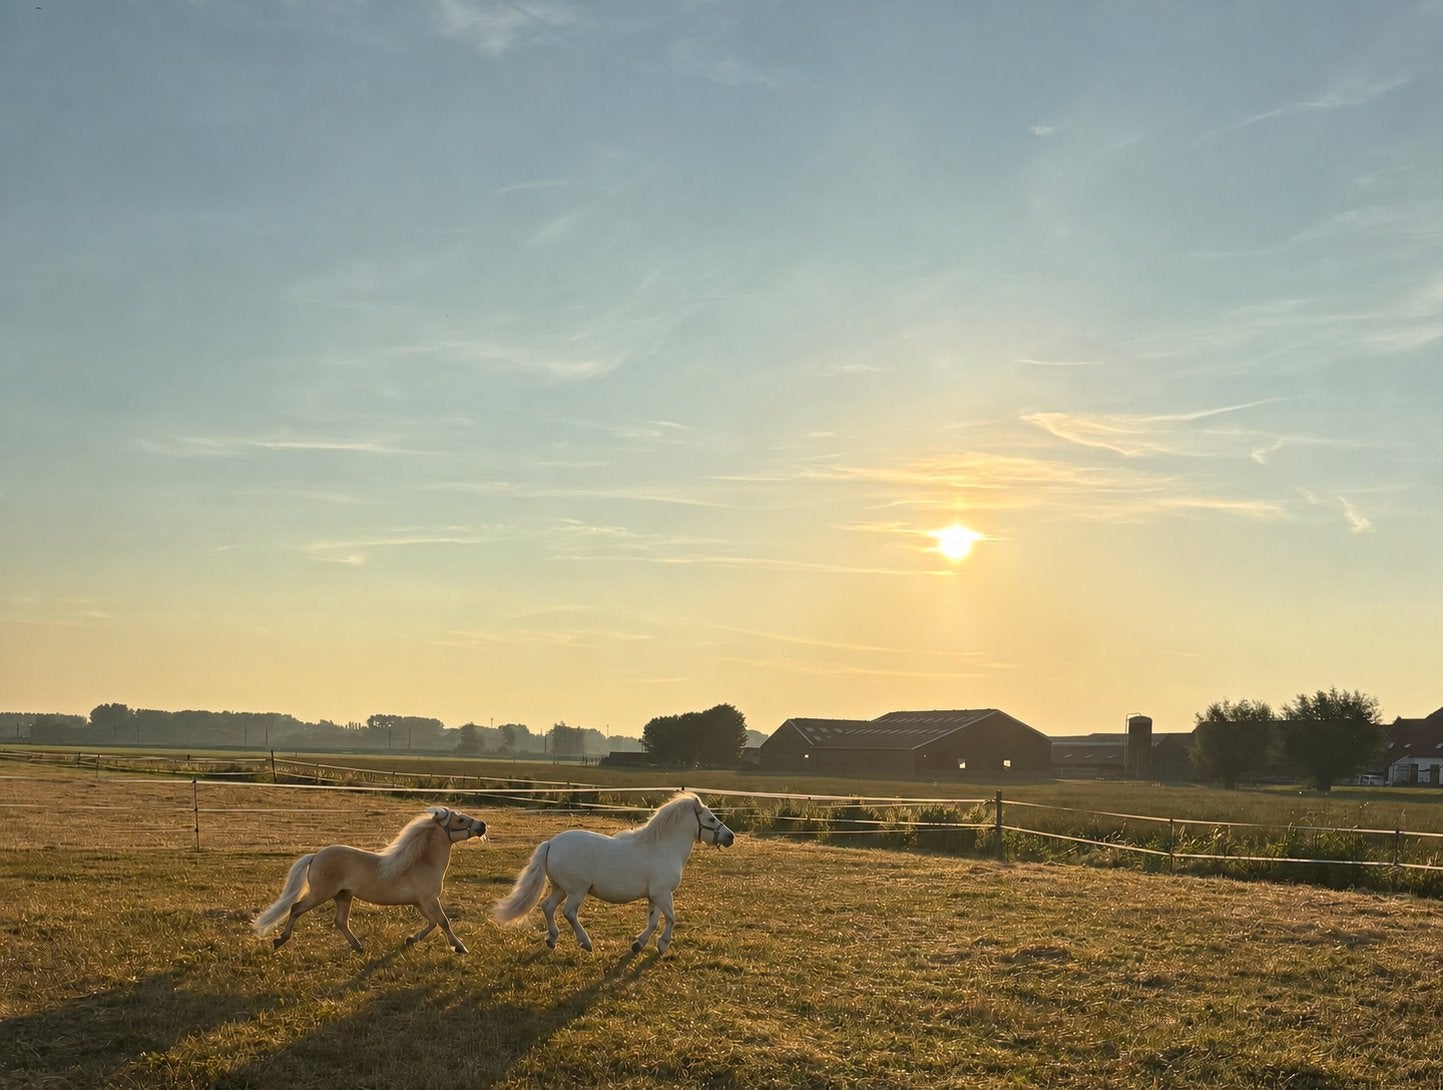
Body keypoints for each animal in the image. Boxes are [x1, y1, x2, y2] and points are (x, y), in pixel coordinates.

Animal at [252, 805, 486, 953]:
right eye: (460, 819)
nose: (483, 825)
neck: (422, 862)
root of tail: (315, 856)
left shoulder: (420, 902)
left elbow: (433, 923)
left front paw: (410, 939)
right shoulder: (429, 899)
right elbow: (443, 922)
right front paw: (460, 948)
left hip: (343, 896)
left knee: (340, 922)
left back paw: (358, 947)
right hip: (321, 894)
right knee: (296, 908)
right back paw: (279, 940)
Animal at [491, 791, 734, 955]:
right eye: (711, 818)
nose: (730, 837)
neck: (663, 847)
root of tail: (551, 843)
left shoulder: (654, 896)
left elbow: (653, 921)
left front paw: (638, 944)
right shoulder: (663, 893)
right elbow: (671, 918)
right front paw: (662, 945)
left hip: (560, 888)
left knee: (547, 907)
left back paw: (552, 939)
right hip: (577, 890)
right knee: (569, 913)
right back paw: (586, 942)